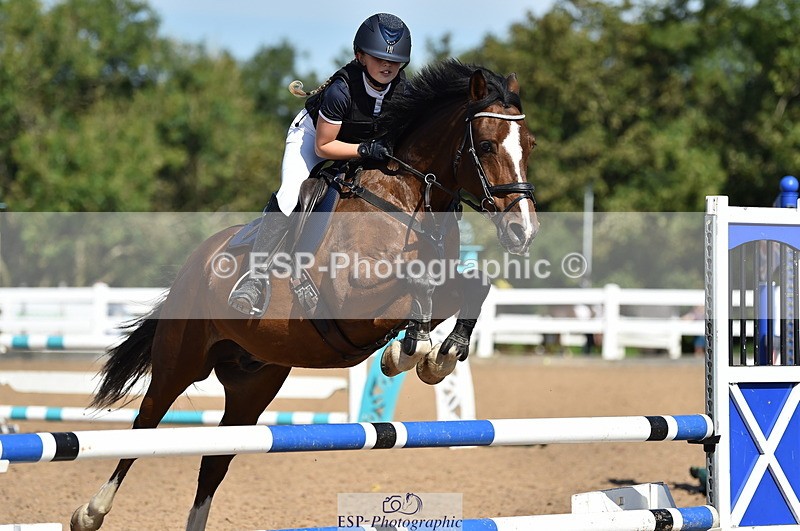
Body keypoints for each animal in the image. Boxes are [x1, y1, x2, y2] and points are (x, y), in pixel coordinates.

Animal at [70, 59, 539, 531]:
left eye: (530, 145)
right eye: (486, 144)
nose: (524, 231)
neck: (405, 199)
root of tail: (197, 261)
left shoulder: (435, 286)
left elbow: (471, 285)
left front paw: (439, 355)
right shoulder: (350, 300)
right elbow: (416, 285)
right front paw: (408, 352)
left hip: (254, 380)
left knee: (216, 457)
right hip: (181, 360)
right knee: (145, 424)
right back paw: (90, 512)